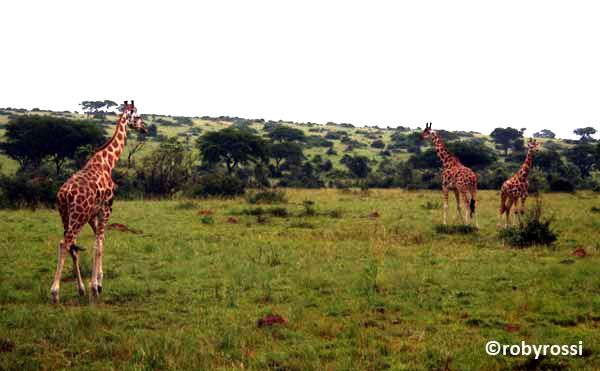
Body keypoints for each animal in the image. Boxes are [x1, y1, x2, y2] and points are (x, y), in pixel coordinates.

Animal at [50, 101, 146, 306]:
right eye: (138, 116)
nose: (145, 128)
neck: (108, 162)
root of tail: (65, 194)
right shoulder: (107, 208)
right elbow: (98, 246)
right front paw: (95, 288)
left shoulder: (93, 214)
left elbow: (100, 242)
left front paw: (97, 284)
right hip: (77, 216)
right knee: (64, 244)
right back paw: (55, 293)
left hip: (65, 215)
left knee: (72, 247)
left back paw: (80, 289)